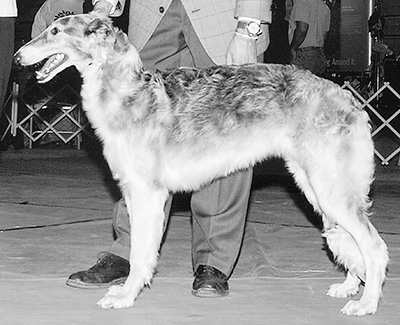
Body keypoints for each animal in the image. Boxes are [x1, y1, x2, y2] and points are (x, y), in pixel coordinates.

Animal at [14, 13, 388, 314]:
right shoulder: (134, 194)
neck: (128, 93)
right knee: (351, 242)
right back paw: (349, 286)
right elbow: (136, 248)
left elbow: (139, 254)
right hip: (316, 187)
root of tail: (349, 99)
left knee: (374, 246)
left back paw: (367, 303)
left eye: (55, 31)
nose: (17, 58)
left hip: (330, 189)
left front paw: (125, 297)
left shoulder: (148, 193)